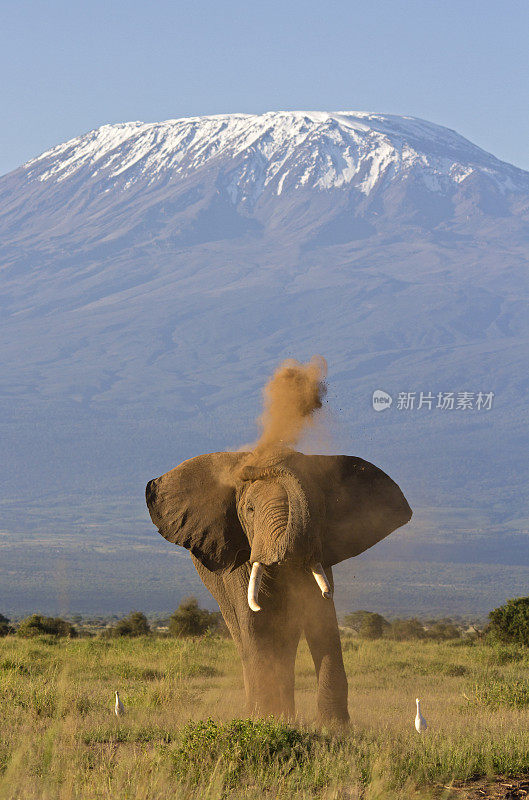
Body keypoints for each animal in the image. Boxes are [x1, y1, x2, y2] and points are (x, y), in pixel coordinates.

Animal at [145, 446, 412, 720]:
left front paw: (334, 728)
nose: (255, 467)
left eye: (319, 510)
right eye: (250, 509)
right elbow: (256, 622)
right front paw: (267, 721)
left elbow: (321, 617)